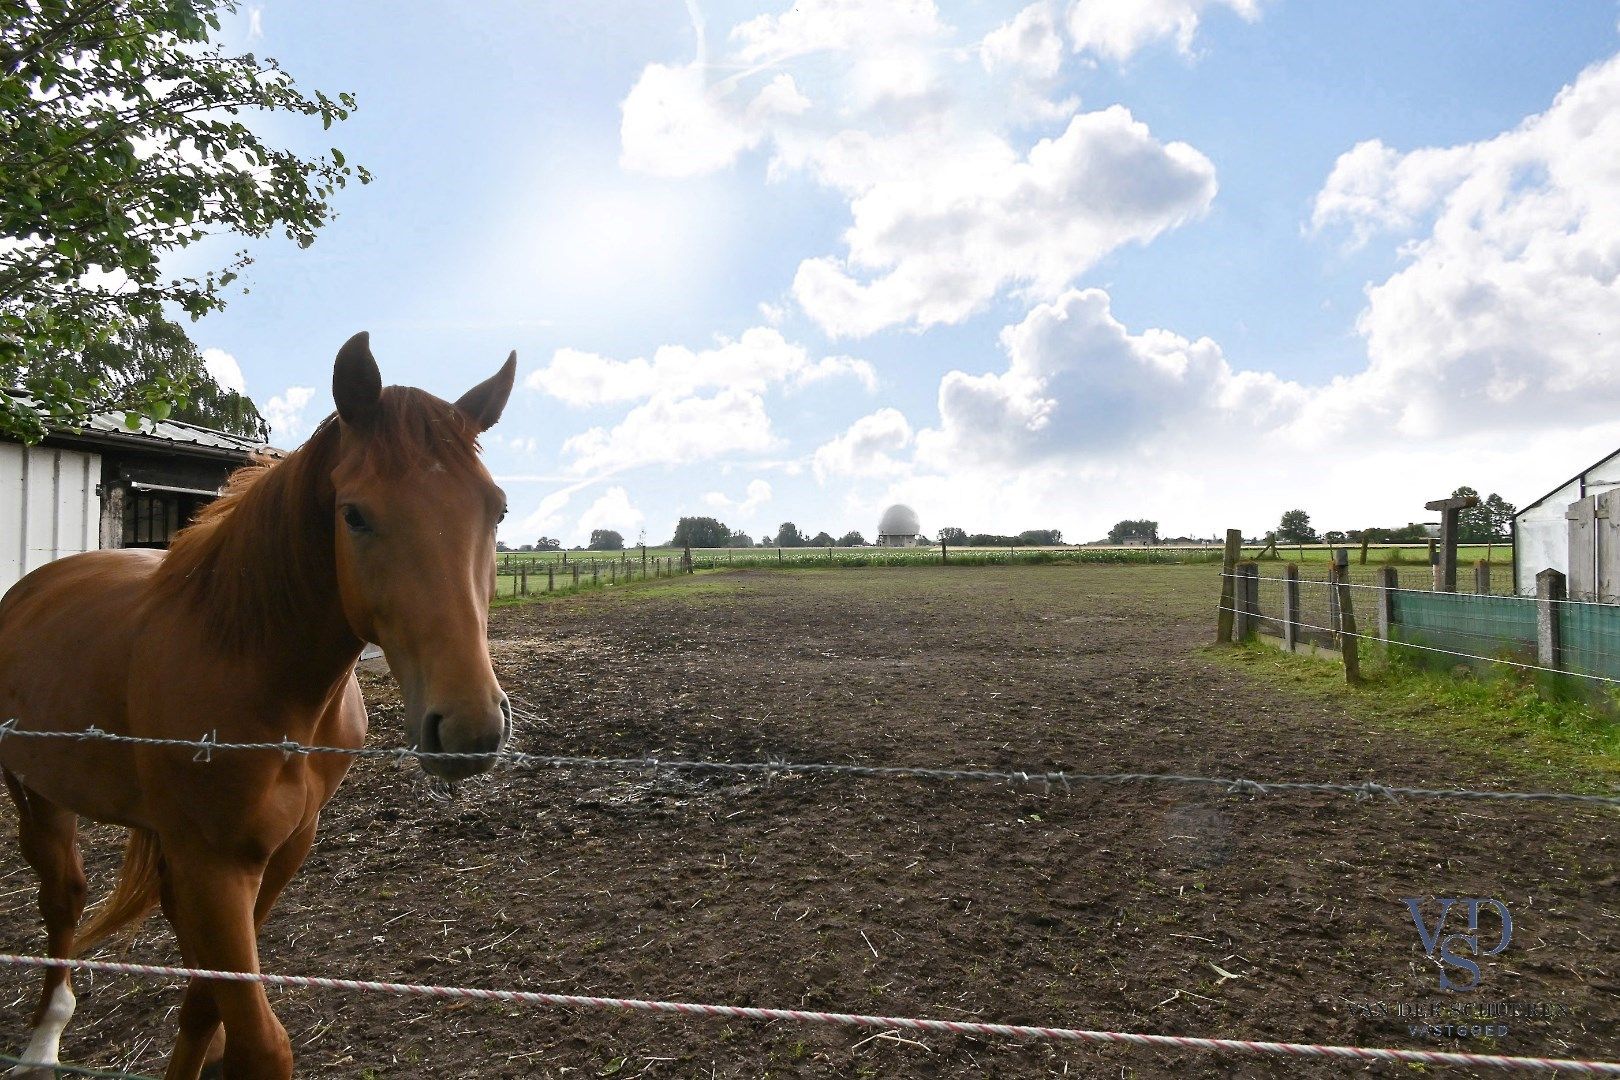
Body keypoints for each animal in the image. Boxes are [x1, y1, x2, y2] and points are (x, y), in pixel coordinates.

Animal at [0, 333, 511, 1075]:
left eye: (495, 509)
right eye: (354, 514)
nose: (469, 726)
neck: (254, 669)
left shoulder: (279, 854)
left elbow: (205, 1006)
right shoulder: (215, 868)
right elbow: (259, 1042)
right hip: (35, 790)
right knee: (63, 897)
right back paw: (43, 1040)